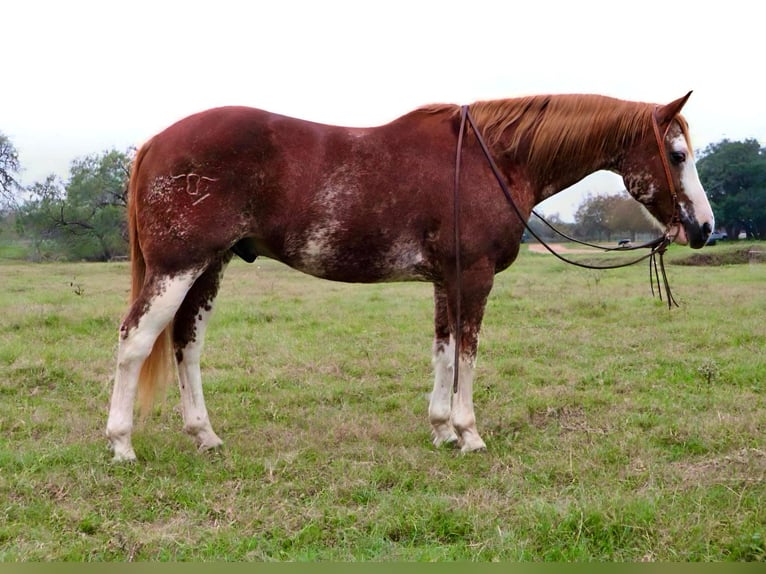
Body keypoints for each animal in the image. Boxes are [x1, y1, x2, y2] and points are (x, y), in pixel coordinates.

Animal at [105, 93, 716, 464]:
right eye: (677, 154)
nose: (704, 228)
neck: (495, 158)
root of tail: (155, 142)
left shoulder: (447, 281)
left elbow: (443, 354)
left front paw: (442, 428)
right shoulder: (474, 277)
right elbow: (467, 354)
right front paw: (470, 434)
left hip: (209, 268)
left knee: (185, 345)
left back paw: (204, 436)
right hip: (177, 267)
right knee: (135, 341)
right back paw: (122, 444)